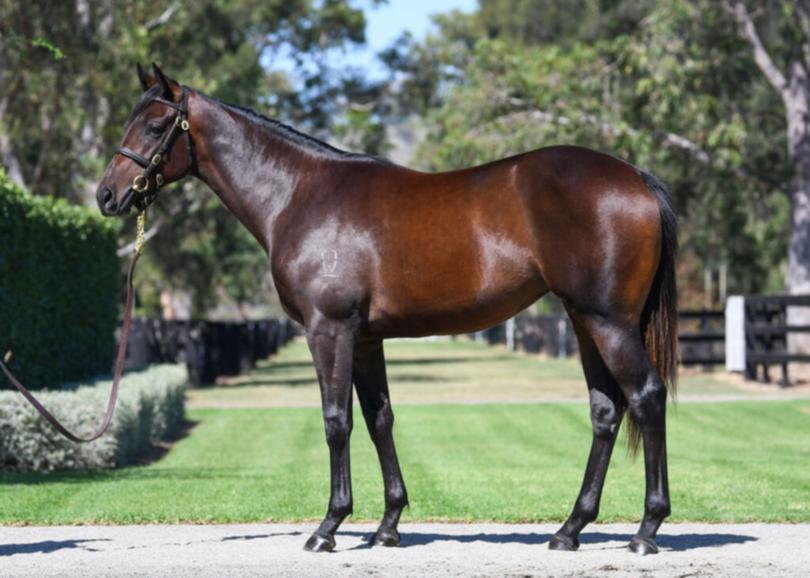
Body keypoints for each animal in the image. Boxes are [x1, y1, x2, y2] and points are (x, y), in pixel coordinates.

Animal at [96, 63, 676, 552]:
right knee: (606, 411)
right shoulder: (365, 338)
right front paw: (389, 525)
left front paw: (328, 527)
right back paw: (569, 529)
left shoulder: (328, 330)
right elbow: (380, 420)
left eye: (154, 127)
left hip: (609, 323)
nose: (106, 195)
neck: (298, 194)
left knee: (647, 398)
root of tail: (635, 178)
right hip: (584, 321)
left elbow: (336, 421)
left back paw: (646, 530)